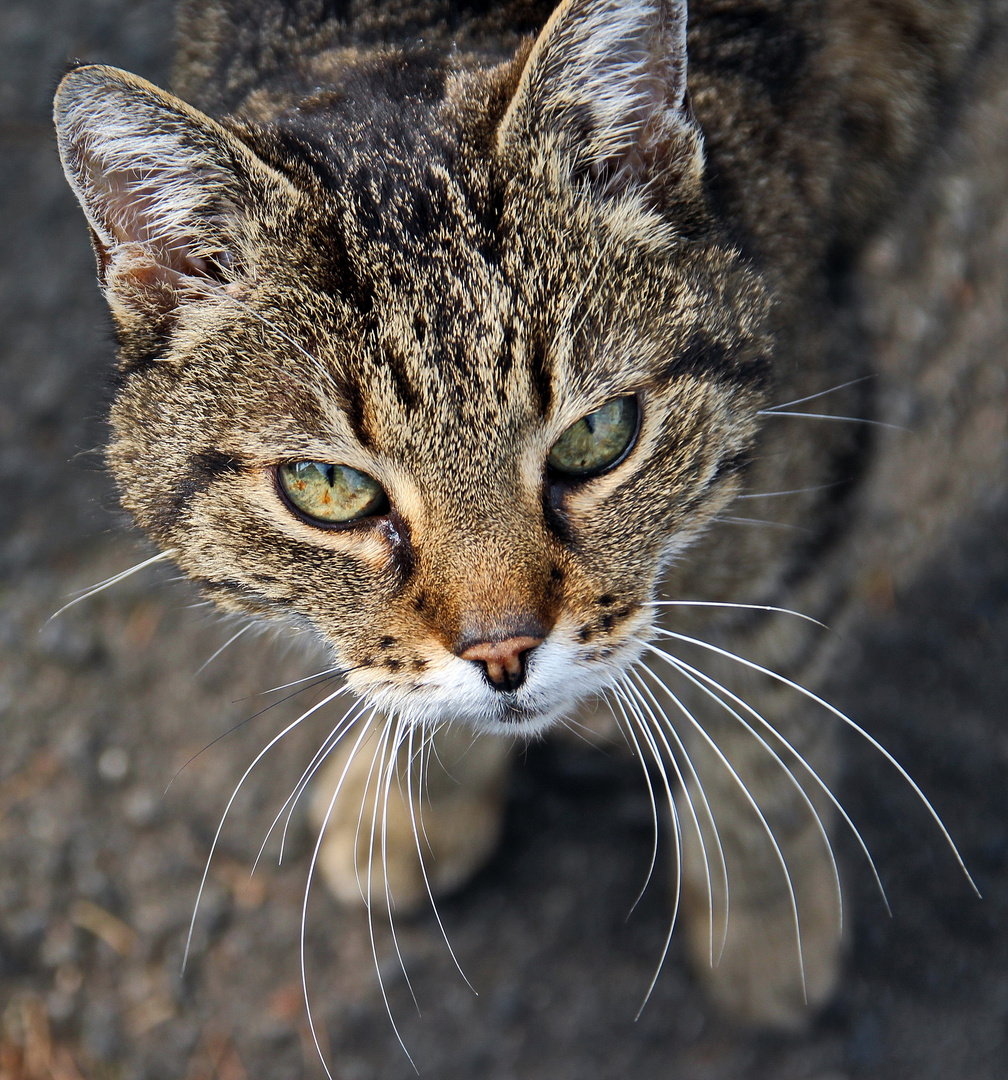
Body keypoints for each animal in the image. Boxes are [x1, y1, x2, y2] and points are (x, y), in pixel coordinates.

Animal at [51, 0, 993, 1036]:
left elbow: (766, 709)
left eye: (596, 436)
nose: (504, 651)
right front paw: (414, 805)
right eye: (328, 487)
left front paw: (767, 918)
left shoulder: (804, 454)